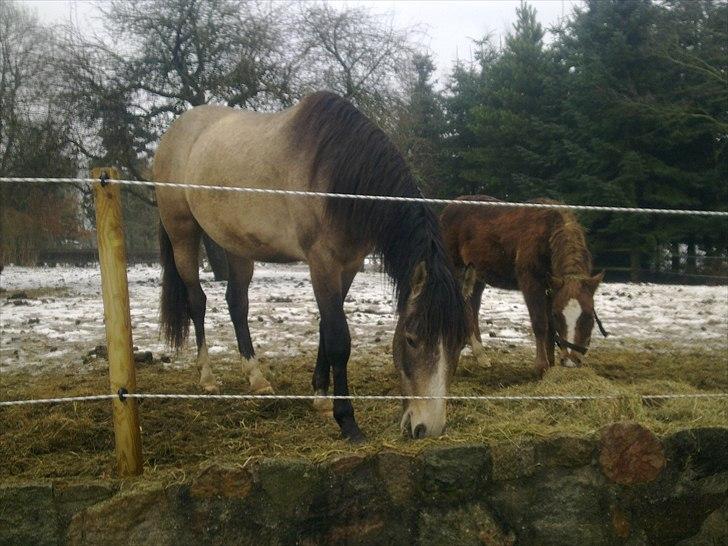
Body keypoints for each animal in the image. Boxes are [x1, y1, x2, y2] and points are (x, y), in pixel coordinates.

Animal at [156, 89, 470, 438]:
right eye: (412, 338)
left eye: (460, 342)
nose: (429, 428)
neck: (339, 176)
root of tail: (175, 131)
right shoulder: (322, 262)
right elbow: (338, 338)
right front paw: (347, 421)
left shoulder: (349, 265)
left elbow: (325, 327)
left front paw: (320, 396)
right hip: (183, 234)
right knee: (197, 302)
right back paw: (207, 378)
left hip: (236, 244)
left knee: (237, 303)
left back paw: (257, 379)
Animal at [440, 196, 604, 374]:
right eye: (558, 315)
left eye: (589, 315)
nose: (570, 362)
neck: (548, 234)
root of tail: (448, 209)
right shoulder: (531, 283)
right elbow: (540, 323)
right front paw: (541, 366)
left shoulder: (552, 288)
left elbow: (550, 328)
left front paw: (551, 364)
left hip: (476, 275)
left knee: (472, 307)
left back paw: (481, 356)